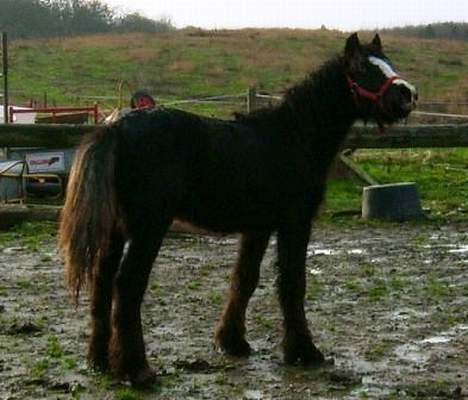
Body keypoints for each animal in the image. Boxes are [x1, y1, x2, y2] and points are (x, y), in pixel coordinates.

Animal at [59, 33, 416, 384]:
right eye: (363, 68)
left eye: (388, 62)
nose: (408, 94)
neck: (292, 138)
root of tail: (116, 128)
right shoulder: (295, 222)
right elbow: (293, 282)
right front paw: (303, 351)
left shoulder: (258, 227)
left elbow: (244, 280)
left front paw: (232, 342)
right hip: (148, 228)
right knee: (128, 284)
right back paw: (137, 370)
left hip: (116, 230)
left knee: (102, 281)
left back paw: (99, 361)